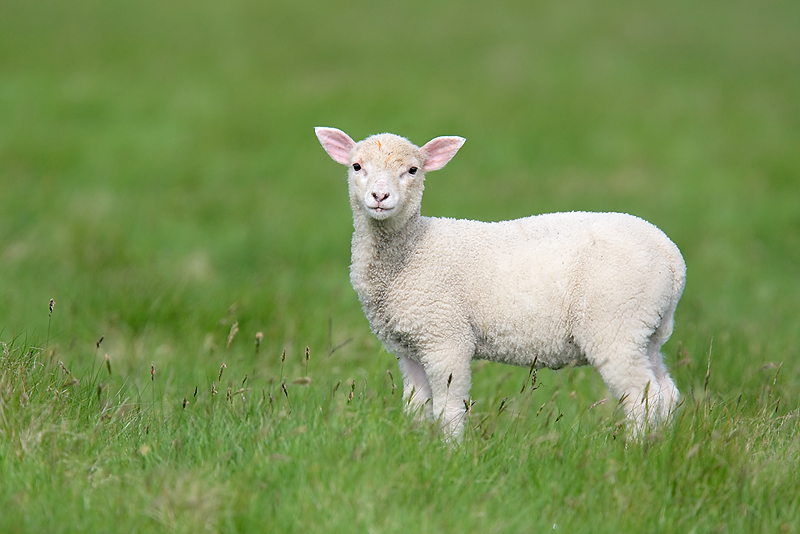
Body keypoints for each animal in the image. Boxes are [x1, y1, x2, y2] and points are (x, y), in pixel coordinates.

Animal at [315, 126, 686, 440]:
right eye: (356, 166)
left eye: (413, 170)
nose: (380, 196)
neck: (413, 248)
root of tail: (670, 254)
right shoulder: (409, 346)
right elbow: (416, 407)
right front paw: (416, 446)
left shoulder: (446, 337)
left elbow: (448, 408)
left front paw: (451, 454)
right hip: (647, 329)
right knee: (667, 393)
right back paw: (659, 447)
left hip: (616, 322)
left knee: (642, 397)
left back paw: (633, 451)